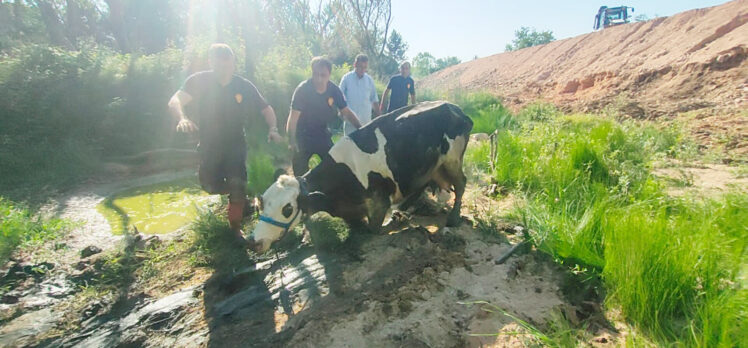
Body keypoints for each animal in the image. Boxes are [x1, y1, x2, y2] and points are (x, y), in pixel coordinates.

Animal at [250, 100, 474, 253]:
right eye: (261, 204)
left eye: (287, 209)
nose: (253, 241)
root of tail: (455, 108)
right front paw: (398, 216)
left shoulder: (378, 201)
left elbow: (374, 229)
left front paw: (395, 221)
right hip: (431, 167)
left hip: (452, 159)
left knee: (461, 183)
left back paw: (453, 218)